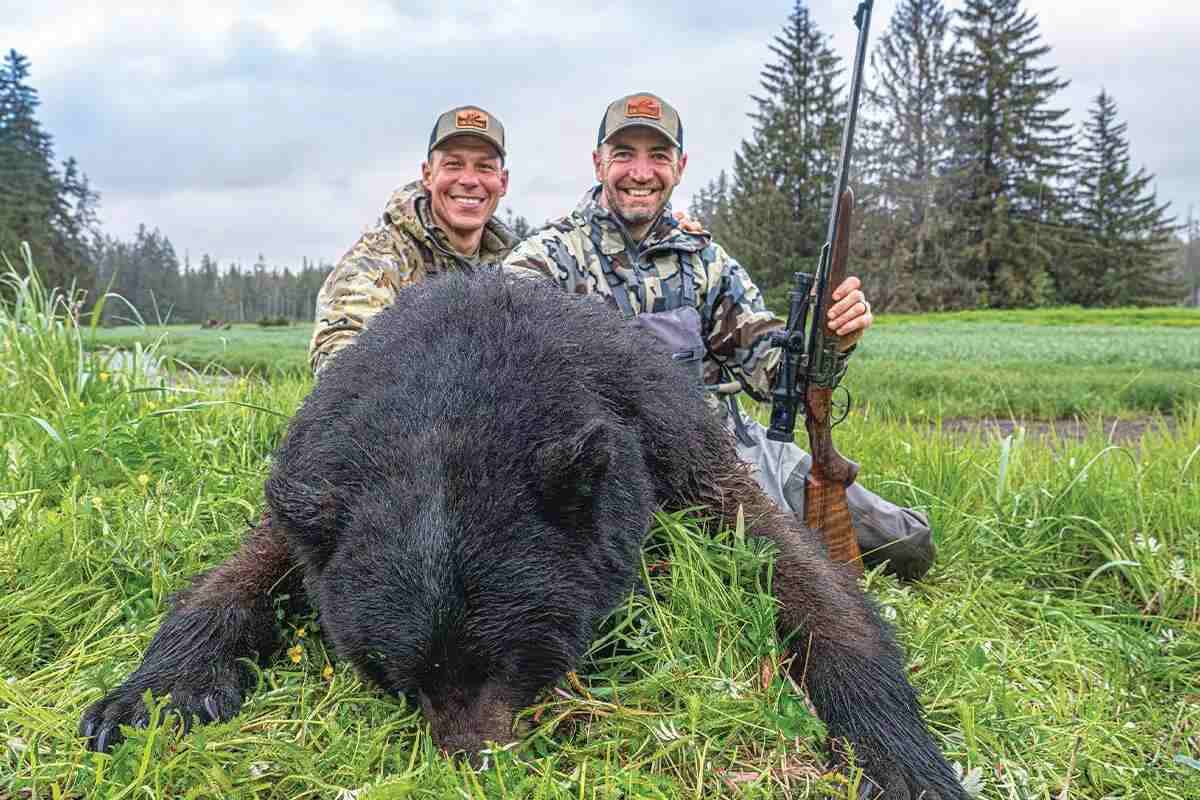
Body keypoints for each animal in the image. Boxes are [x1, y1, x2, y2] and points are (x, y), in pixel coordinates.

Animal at [81, 271, 965, 799]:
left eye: (507, 660)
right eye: (396, 676)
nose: (471, 767)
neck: (456, 390)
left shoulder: (669, 444)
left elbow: (805, 582)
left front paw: (903, 760)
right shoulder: (317, 480)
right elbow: (237, 575)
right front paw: (144, 701)